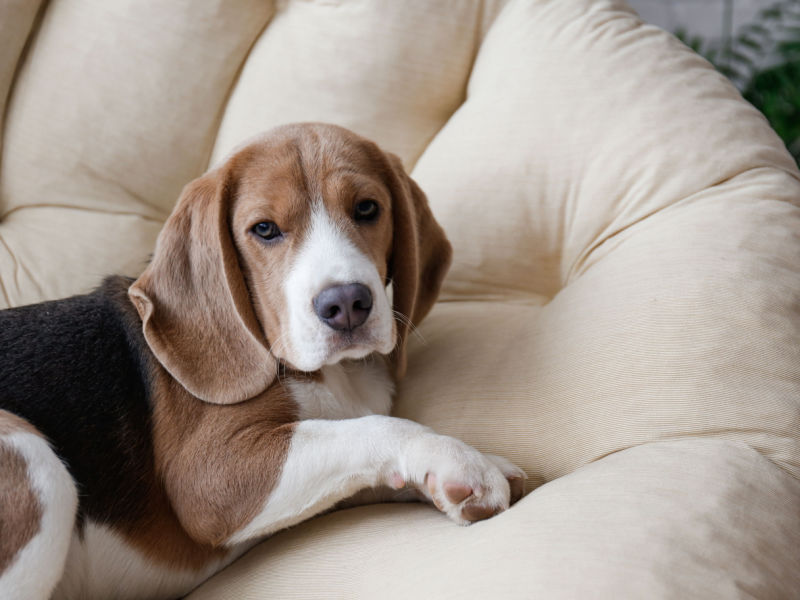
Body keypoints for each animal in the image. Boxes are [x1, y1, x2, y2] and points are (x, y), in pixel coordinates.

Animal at [0, 123, 528, 600]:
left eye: (367, 209)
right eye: (265, 230)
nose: (347, 304)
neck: (328, 374)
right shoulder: (209, 476)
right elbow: (372, 428)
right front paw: (459, 459)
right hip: (33, 459)